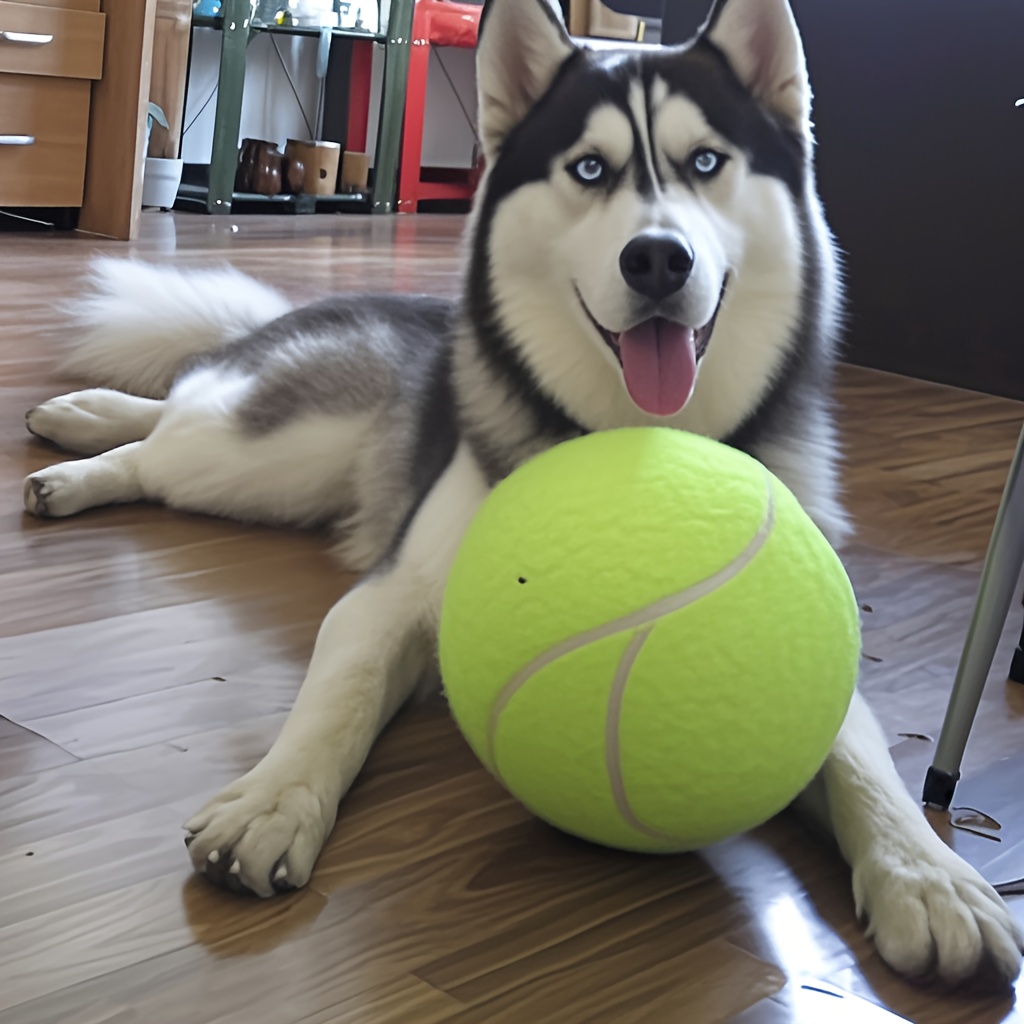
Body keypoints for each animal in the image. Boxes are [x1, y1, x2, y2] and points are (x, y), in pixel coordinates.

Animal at [19, 0, 1019, 983]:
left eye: (706, 163)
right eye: (589, 168)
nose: (659, 260)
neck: (633, 443)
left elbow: (860, 760)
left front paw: (929, 875)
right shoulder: (392, 600)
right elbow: (342, 696)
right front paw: (272, 801)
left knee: (182, 404)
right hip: (267, 456)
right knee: (173, 429)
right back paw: (80, 448)